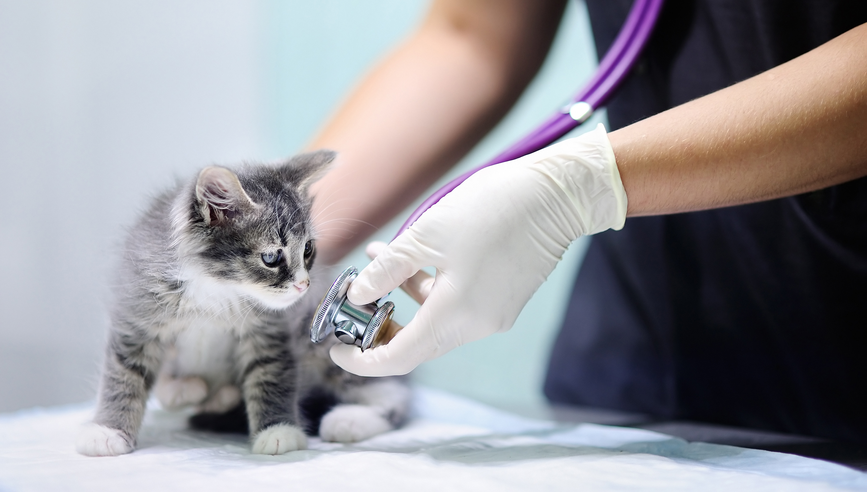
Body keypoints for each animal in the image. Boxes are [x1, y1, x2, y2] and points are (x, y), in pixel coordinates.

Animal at [75, 151, 410, 458]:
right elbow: (122, 375)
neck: (216, 289)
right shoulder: (136, 317)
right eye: (272, 257)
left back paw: (348, 420)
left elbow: (272, 376)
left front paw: (279, 431)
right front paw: (107, 430)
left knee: (393, 396)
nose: (304, 285)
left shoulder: (271, 332)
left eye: (308, 249)